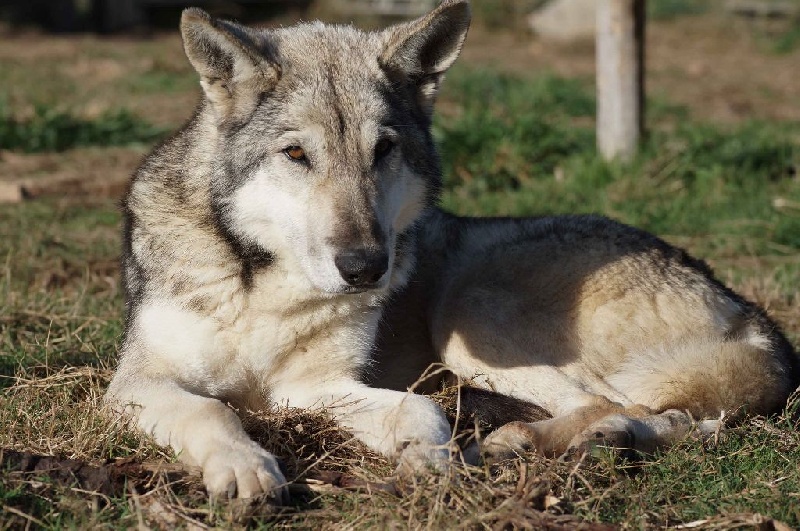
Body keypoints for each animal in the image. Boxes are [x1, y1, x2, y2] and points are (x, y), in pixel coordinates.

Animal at [108, 0, 800, 500]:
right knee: (659, 418)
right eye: (296, 153)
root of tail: (759, 322)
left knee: (629, 408)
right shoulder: (142, 384)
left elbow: (419, 410)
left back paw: (533, 439)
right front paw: (244, 467)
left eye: (383, 150)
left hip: (467, 317)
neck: (261, 281)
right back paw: (564, 440)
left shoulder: (322, 382)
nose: (366, 268)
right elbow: (212, 412)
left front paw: (431, 460)